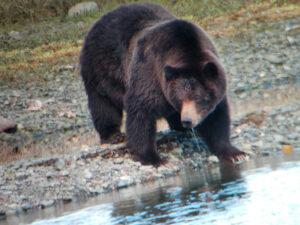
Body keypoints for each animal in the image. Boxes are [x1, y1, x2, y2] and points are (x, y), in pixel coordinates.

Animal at [79, 2, 246, 165]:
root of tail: (99, 20)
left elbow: (216, 118)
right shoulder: (149, 72)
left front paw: (234, 153)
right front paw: (154, 158)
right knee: (103, 104)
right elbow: (141, 113)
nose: (187, 120)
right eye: (181, 98)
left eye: (199, 98)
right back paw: (113, 135)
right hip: (100, 70)